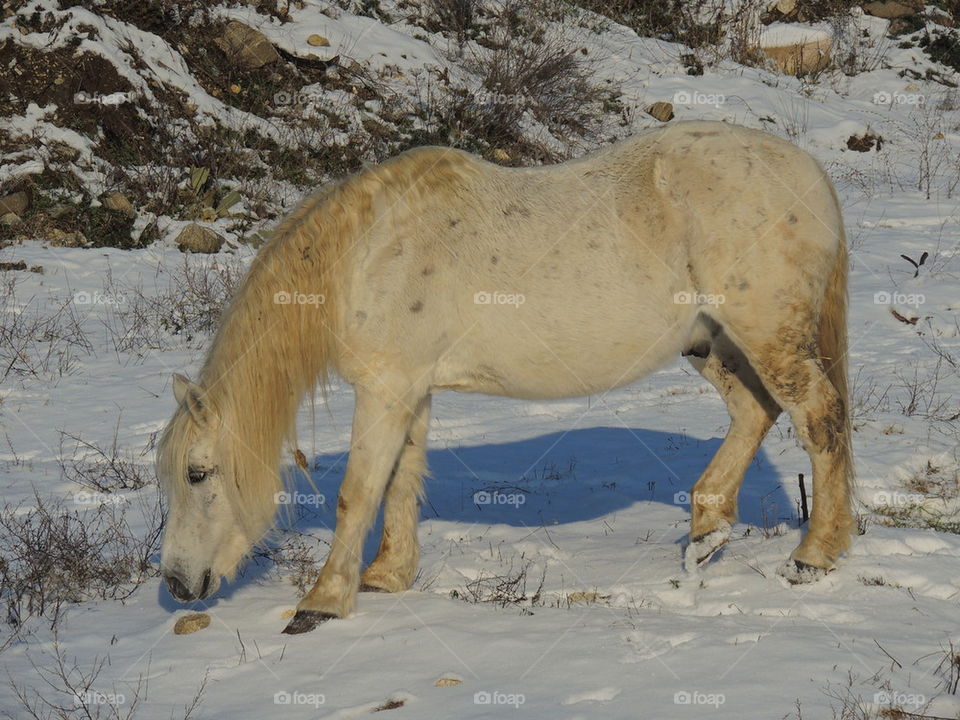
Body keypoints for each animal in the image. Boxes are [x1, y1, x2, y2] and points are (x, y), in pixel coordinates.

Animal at [157, 120, 854, 635]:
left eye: (197, 473)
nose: (176, 584)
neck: (366, 255)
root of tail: (809, 173)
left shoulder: (384, 390)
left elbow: (358, 492)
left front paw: (322, 602)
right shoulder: (411, 391)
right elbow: (400, 483)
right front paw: (386, 577)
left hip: (766, 335)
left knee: (819, 415)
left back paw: (814, 556)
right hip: (712, 342)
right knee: (756, 412)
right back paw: (708, 531)